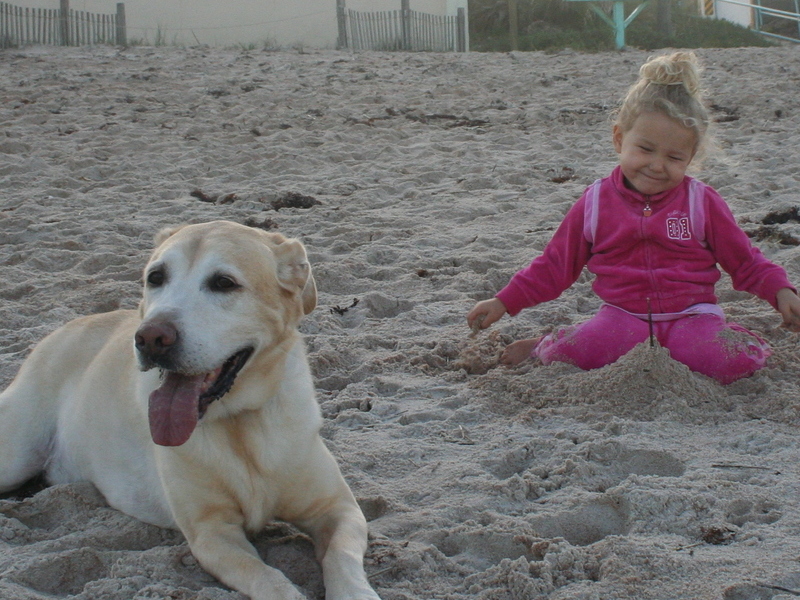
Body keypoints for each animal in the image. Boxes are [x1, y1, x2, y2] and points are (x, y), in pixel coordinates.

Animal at [0, 220, 382, 600]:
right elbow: (270, 579)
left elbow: (342, 557)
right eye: (155, 277)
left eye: (224, 283)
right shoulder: (212, 533)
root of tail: (68, 326)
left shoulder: (338, 510)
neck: (239, 422)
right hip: (16, 455)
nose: (150, 338)